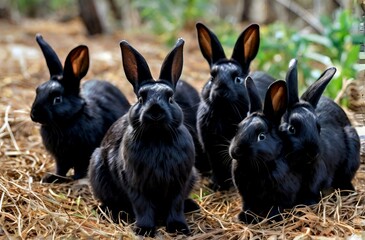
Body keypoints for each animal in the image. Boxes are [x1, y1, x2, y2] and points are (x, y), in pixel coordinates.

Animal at [30, 34, 129, 183]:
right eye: (38, 91)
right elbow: (61, 169)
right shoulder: (61, 158)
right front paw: (52, 177)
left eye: (57, 99)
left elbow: (80, 168)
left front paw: (73, 178)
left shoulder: (83, 154)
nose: (34, 114)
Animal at [88, 39, 198, 236]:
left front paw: (179, 228)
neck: (157, 137)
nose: (155, 112)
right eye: (140, 99)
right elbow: (142, 206)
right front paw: (144, 230)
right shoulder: (135, 183)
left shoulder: (180, 182)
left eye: (171, 98)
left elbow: (176, 206)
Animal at [195, 22, 274, 191]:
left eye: (237, 79)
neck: (223, 111)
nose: (220, 92)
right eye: (212, 77)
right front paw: (216, 185)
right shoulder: (211, 148)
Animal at [229, 77, 300, 223]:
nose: (235, 151)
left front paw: (271, 219)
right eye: (238, 129)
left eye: (261, 136)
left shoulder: (281, 196)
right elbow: (248, 206)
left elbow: (276, 208)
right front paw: (244, 217)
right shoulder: (247, 196)